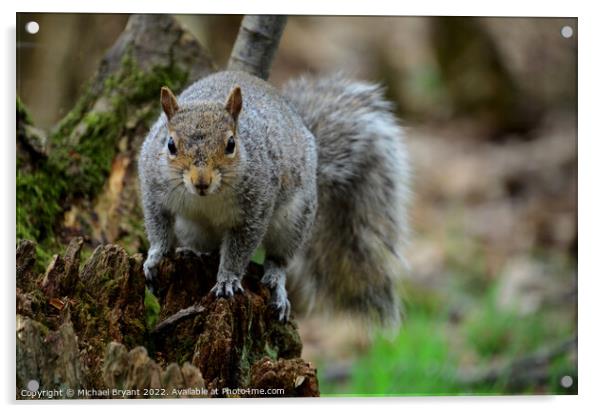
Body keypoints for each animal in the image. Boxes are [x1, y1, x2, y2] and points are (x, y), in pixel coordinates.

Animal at [138, 69, 410, 324]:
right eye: (170, 145)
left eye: (231, 144)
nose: (201, 182)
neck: (207, 199)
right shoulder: (153, 189)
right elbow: (158, 225)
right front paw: (155, 258)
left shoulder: (256, 207)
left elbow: (239, 249)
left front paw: (228, 279)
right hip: (192, 229)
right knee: (209, 249)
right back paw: (193, 253)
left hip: (295, 221)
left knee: (278, 258)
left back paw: (276, 284)